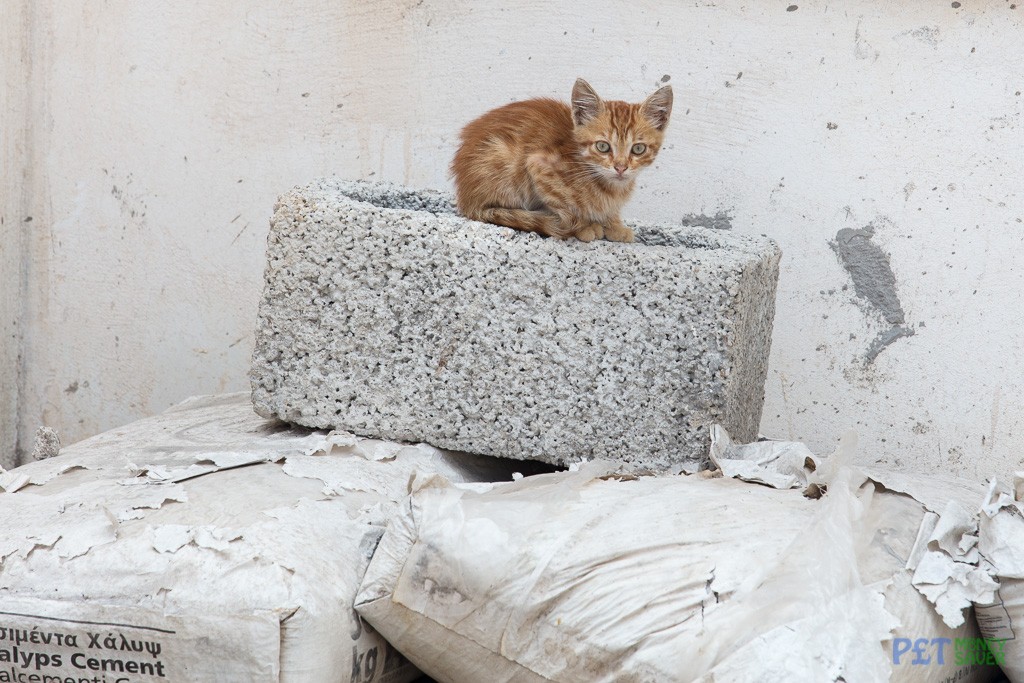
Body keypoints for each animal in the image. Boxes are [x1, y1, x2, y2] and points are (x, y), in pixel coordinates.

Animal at [450, 78, 671, 242]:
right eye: (603, 146)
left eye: (638, 149)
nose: (621, 167)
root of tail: (465, 199)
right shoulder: (538, 165)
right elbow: (565, 208)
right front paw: (585, 226)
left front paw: (615, 225)